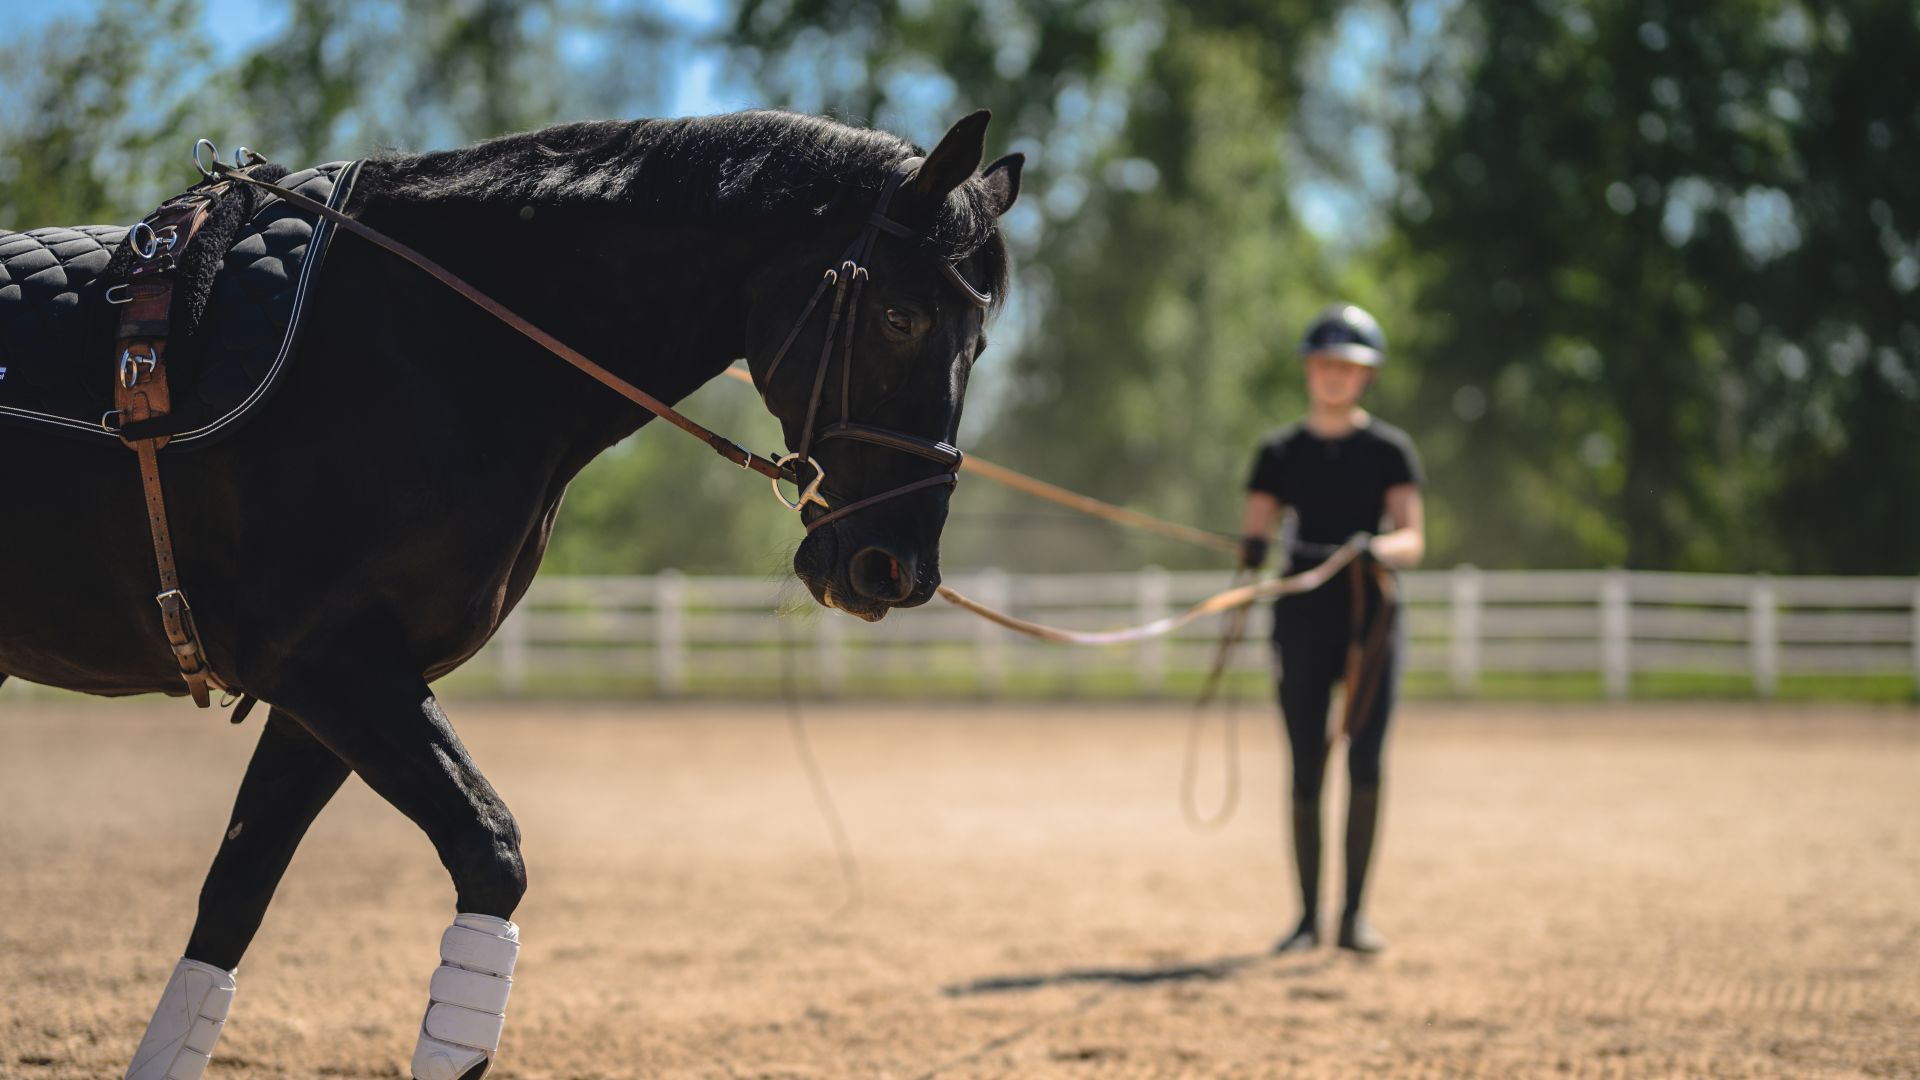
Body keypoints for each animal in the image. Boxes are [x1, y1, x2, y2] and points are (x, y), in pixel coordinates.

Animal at [0, 111, 1021, 1076]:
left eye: (978, 340)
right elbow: (490, 852)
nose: (896, 566)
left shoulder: (320, 698)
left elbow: (234, 896)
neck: (433, 338)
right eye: (899, 317)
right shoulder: (333, 669)